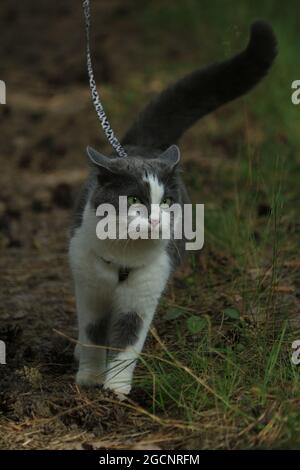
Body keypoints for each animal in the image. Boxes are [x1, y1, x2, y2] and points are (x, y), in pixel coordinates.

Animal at [69, 21, 278, 396]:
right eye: (134, 200)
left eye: (166, 202)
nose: (155, 219)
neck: (123, 257)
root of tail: (143, 146)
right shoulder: (90, 289)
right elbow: (92, 334)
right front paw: (89, 379)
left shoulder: (143, 293)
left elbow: (126, 341)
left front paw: (115, 390)